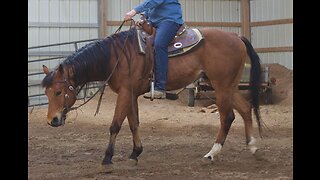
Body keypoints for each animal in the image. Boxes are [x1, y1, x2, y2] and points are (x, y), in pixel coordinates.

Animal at [42, 22, 262, 173]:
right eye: (46, 92)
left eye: (58, 92)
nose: (52, 120)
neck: (117, 57)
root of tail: (236, 36)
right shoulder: (130, 94)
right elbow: (133, 123)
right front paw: (135, 153)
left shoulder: (125, 93)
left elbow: (115, 125)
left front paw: (107, 159)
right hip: (229, 86)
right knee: (245, 109)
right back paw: (252, 147)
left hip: (221, 86)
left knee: (227, 117)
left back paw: (211, 153)